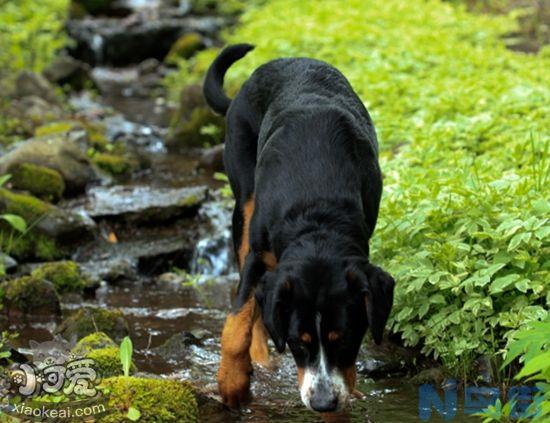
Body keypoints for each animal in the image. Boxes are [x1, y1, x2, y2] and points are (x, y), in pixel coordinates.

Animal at [205, 44, 394, 412]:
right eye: (297, 342)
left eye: (345, 340)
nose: (323, 402)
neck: (317, 214)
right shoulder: (259, 253)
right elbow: (237, 323)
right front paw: (232, 384)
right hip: (243, 204)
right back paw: (259, 360)